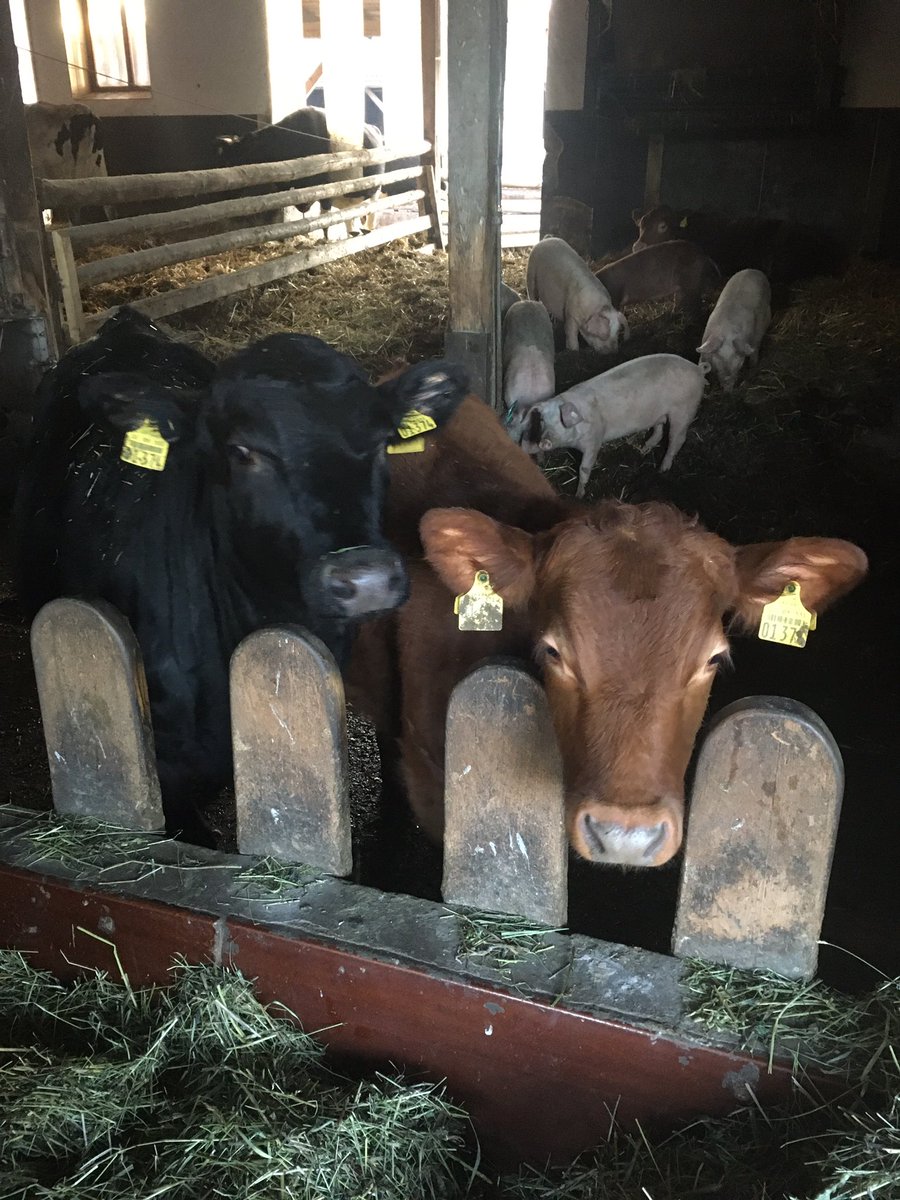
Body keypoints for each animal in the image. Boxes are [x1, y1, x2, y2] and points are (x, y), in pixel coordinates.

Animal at [216, 107, 385, 234]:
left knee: (371, 214)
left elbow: (325, 220)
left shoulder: (326, 189)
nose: (223, 195)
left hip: (374, 190)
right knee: (351, 217)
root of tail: (374, 128)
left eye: (230, 161)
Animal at [520, 354, 710, 498]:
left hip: (683, 411)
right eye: (542, 420)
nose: (544, 441)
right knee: (659, 431)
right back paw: (644, 449)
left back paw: (662, 469)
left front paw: (579, 495)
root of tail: (698, 369)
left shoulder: (594, 440)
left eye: (561, 419)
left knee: (677, 439)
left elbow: (584, 468)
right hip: (660, 414)